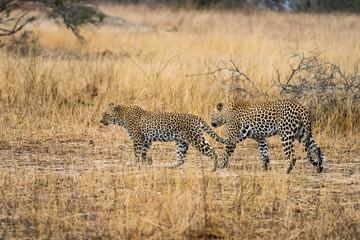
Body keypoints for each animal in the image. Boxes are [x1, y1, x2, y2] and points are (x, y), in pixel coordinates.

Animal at [100, 103, 233, 171]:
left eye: (106, 114)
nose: (101, 121)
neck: (122, 117)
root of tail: (197, 117)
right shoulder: (146, 140)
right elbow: (143, 153)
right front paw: (149, 161)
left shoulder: (138, 139)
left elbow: (137, 153)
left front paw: (133, 163)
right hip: (181, 142)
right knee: (181, 159)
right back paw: (168, 166)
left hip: (196, 139)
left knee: (213, 152)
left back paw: (213, 168)